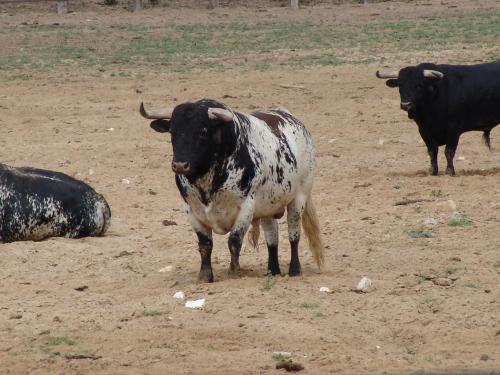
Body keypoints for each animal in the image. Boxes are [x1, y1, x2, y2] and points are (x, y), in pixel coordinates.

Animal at [141, 98, 326, 284]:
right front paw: (205, 276)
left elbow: (234, 241)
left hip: (299, 199)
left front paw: (234, 272)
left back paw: (294, 270)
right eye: (172, 131)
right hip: (268, 206)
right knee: (272, 237)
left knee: (293, 234)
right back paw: (272, 271)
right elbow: (205, 245)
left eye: (203, 131)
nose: (180, 165)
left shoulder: (245, 207)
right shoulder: (191, 210)